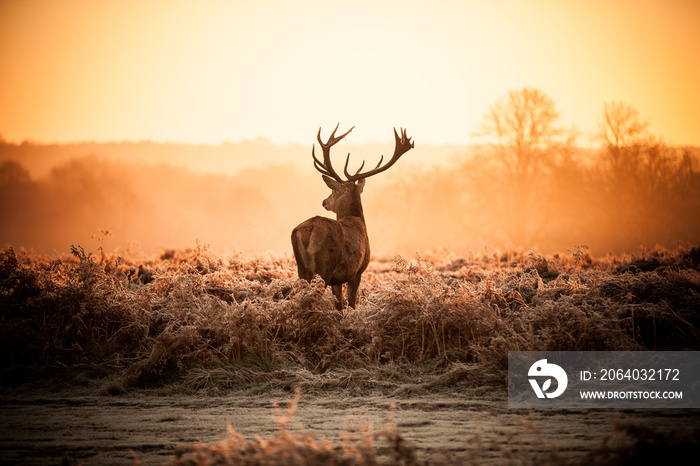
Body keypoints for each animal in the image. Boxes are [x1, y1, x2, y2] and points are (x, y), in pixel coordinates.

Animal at [292, 124, 412, 312]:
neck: (356, 219)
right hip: (323, 267)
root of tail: (306, 231)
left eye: (332, 191)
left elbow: (339, 306)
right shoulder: (357, 271)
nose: (324, 201)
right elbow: (352, 304)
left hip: (302, 269)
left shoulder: (338, 280)